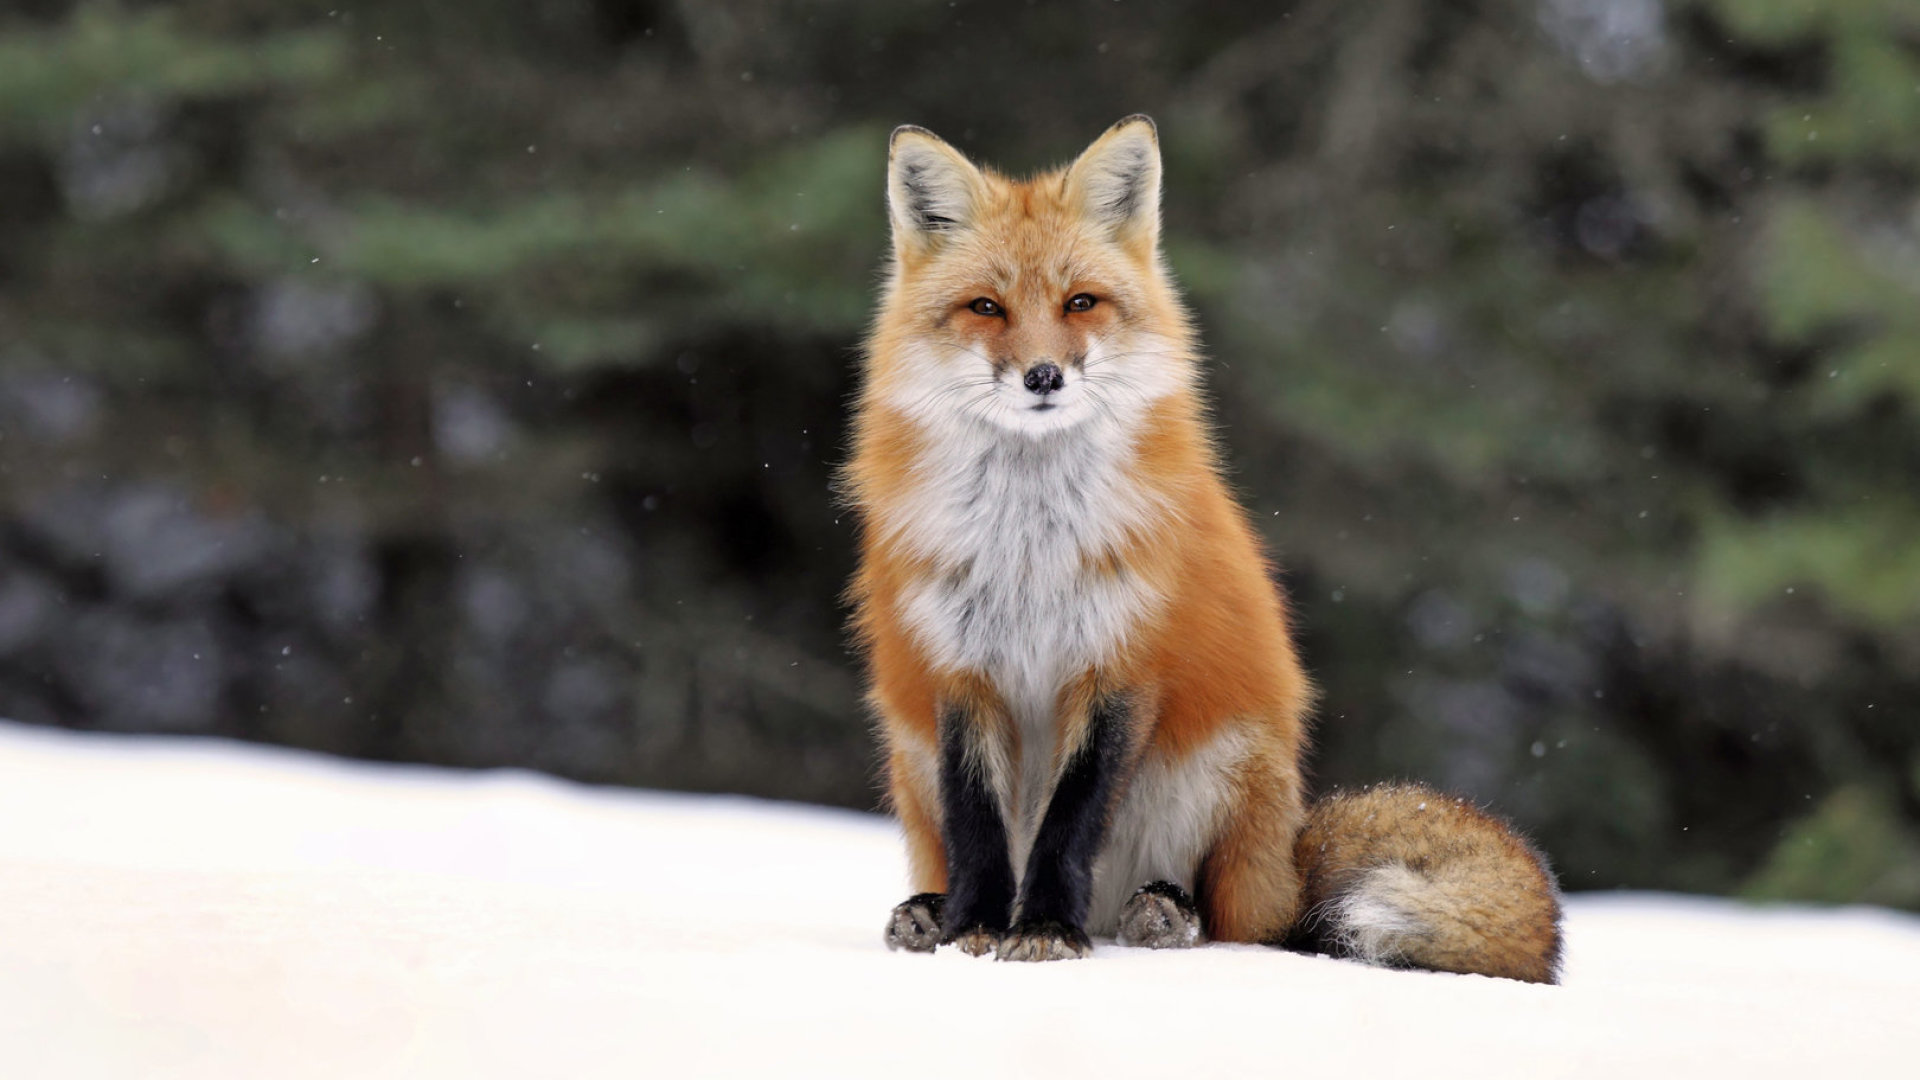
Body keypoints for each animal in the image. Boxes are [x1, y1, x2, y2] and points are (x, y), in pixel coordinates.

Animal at [844, 113, 1559, 980]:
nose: (1044, 376)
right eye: (986, 306)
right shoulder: (958, 667)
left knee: (1235, 922)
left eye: (1080, 303)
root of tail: (1288, 860)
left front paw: (1044, 928)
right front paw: (975, 930)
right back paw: (926, 912)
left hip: (1222, 770)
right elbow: (978, 823)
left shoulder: (1122, 663)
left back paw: (1161, 914)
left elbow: (1069, 822)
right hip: (909, 755)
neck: (1030, 548)